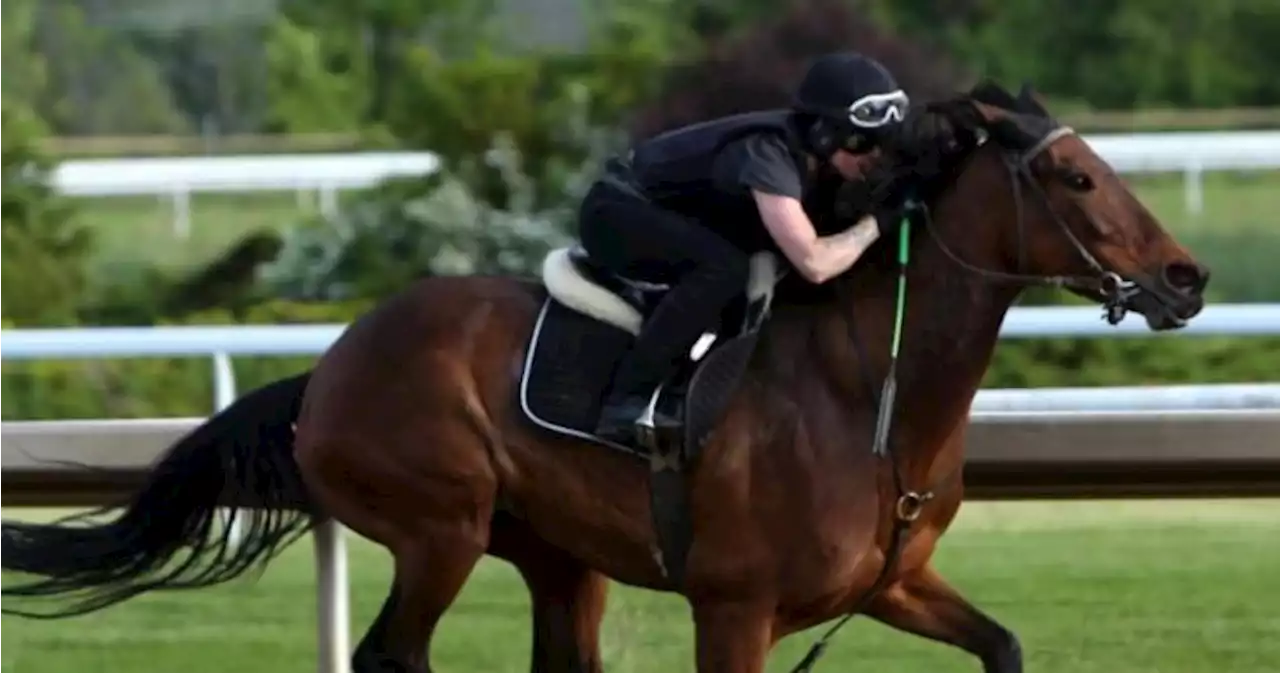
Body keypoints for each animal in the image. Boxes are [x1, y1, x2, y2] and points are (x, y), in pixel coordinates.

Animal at [5, 80, 1208, 673]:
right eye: (1073, 176)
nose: (1185, 277)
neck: (868, 396)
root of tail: (327, 369)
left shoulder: (889, 584)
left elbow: (1002, 645)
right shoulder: (734, 610)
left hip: (554, 555)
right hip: (440, 527)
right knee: (392, 655)